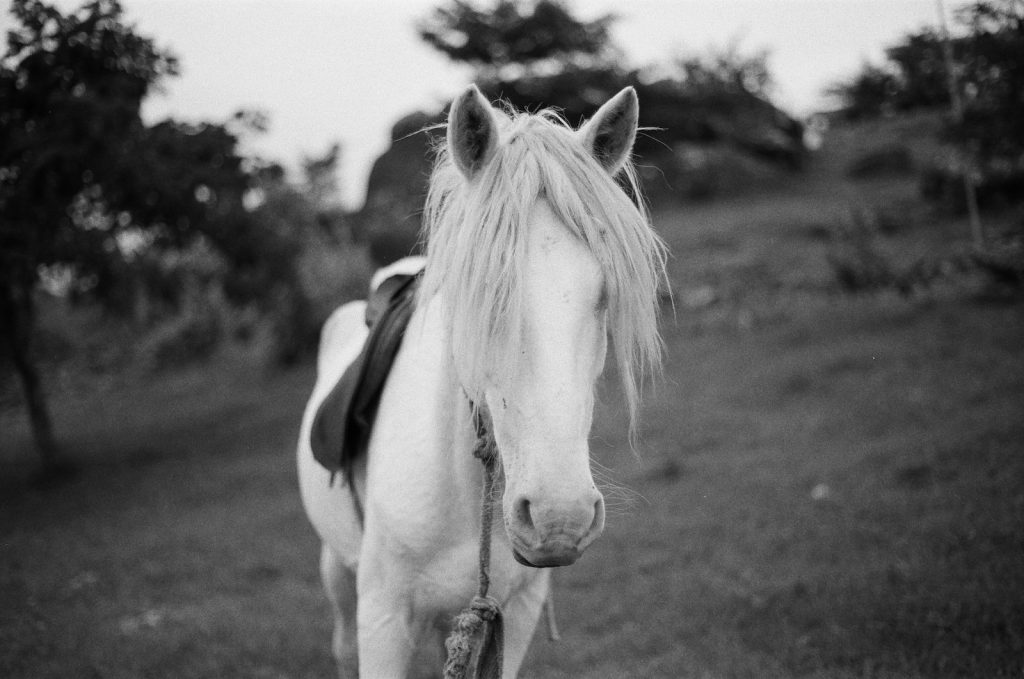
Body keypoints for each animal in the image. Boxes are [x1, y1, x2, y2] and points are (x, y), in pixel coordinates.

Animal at [294, 85, 671, 679]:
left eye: (602, 297)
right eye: (480, 295)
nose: (559, 519)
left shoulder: (514, 614)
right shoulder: (381, 619)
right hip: (338, 571)